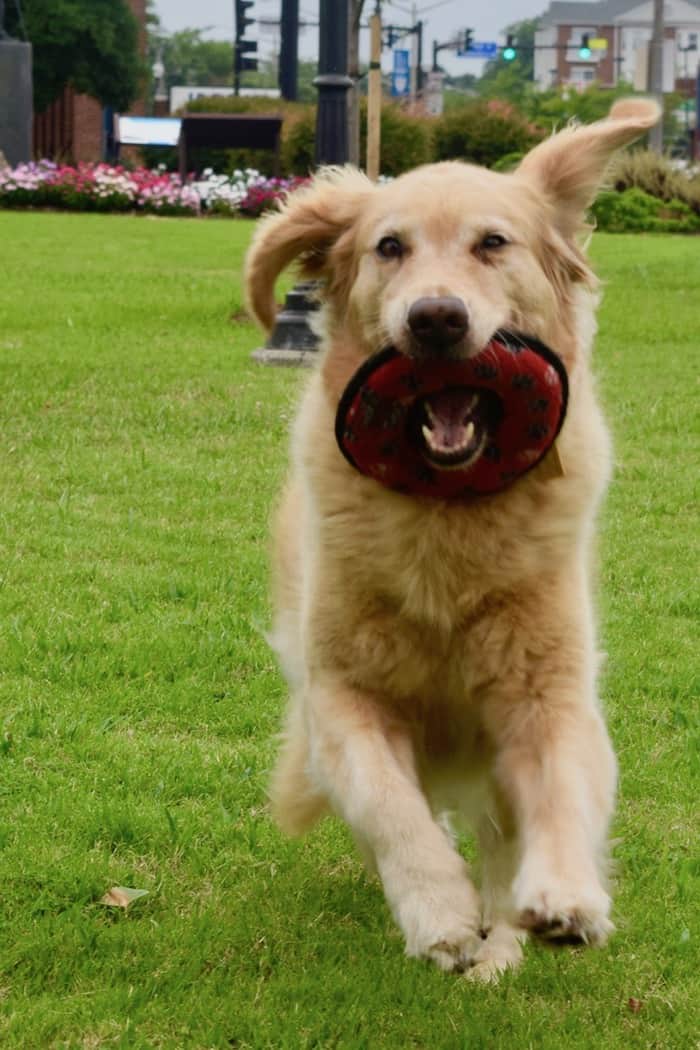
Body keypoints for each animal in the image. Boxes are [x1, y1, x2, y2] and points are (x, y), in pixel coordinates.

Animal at [243, 96, 659, 974]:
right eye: (388, 247)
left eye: (492, 243)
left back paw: (503, 943)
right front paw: (437, 912)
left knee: (502, 845)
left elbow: (562, 784)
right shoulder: (340, 697)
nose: (436, 319)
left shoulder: (550, 689)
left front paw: (566, 899)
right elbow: (390, 807)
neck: (447, 517)